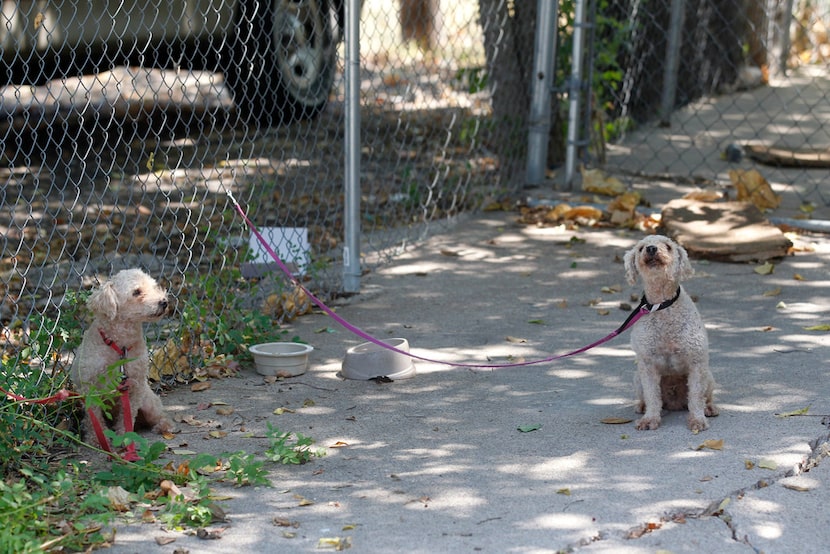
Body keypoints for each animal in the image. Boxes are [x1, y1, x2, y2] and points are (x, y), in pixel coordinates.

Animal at [70, 268, 175, 440]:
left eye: (154, 286)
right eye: (136, 292)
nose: (164, 301)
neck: (120, 346)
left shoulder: (135, 387)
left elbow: (128, 413)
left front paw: (125, 436)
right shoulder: (89, 389)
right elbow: (94, 420)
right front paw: (97, 440)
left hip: (149, 402)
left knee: (160, 415)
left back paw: (164, 426)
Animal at [628, 234, 720, 432]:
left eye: (668, 246)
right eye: (640, 248)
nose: (651, 249)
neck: (662, 305)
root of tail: (675, 402)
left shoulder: (696, 363)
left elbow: (696, 397)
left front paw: (697, 420)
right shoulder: (647, 365)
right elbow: (652, 397)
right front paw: (650, 419)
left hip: (708, 376)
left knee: (705, 397)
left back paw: (709, 408)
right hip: (637, 378)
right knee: (647, 398)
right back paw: (641, 406)